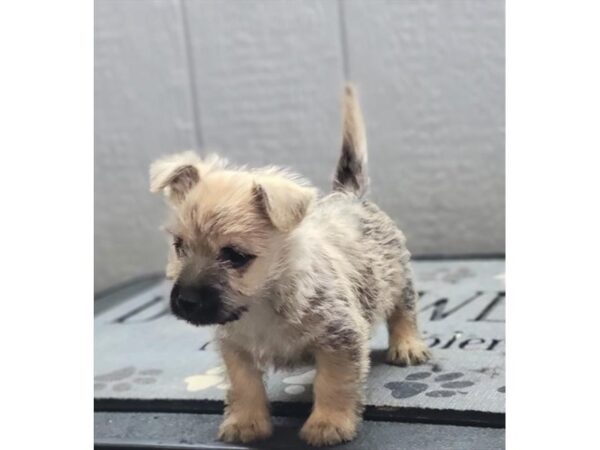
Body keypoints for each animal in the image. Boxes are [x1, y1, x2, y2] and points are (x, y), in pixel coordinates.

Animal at [150, 85, 432, 446]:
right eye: (179, 246)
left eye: (235, 256)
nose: (186, 301)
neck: (264, 302)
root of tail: (349, 195)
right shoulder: (235, 348)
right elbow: (244, 386)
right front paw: (246, 423)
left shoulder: (340, 340)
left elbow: (333, 384)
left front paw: (328, 424)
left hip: (396, 275)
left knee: (403, 311)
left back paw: (408, 346)